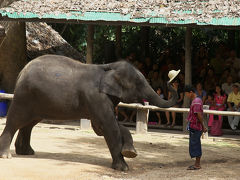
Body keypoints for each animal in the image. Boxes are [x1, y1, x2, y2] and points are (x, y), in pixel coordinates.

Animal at [0, 54, 178, 171]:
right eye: (139, 84)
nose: (172, 77)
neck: (107, 66)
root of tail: (22, 71)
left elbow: (103, 126)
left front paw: (130, 152)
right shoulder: (95, 97)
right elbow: (108, 126)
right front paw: (123, 168)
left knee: (29, 124)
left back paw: (26, 152)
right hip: (24, 96)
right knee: (14, 121)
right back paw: (6, 156)